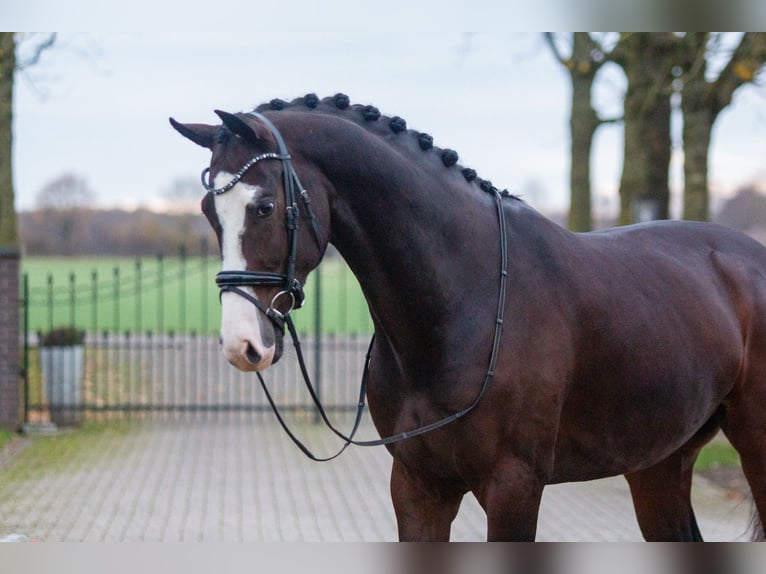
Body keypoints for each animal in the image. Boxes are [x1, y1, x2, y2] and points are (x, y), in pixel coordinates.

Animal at [170, 93, 766, 541]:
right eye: (207, 212)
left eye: (264, 206)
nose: (242, 343)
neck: (461, 305)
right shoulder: (417, 486)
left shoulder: (513, 487)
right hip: (658, 463)